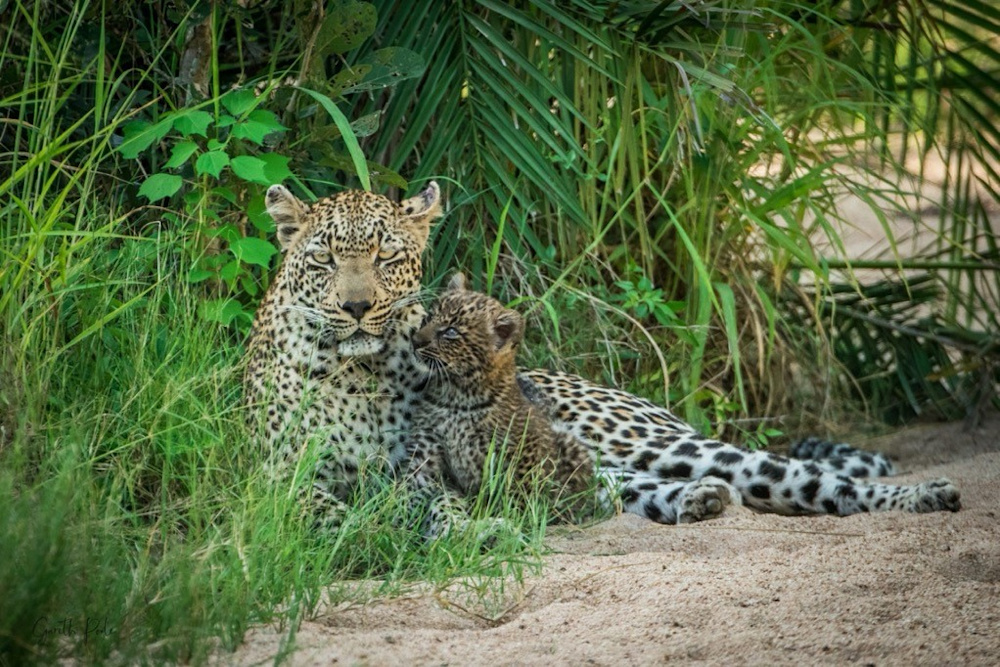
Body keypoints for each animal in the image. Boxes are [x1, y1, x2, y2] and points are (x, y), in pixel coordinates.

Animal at [403, 273, 597, 534]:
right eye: (430, 317)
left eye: (451, 332)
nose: (415, 341)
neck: (456, 396)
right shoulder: (426, 447)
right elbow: (413, 487)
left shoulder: (518, 452)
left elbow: (516, 493)